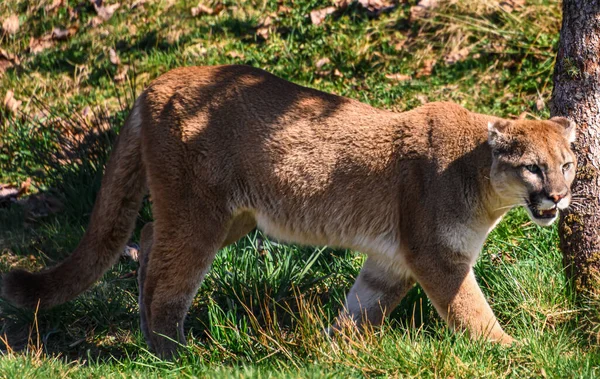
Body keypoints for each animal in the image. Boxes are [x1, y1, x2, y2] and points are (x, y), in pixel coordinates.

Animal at [2, 63, 580, 358]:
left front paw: (337, 351)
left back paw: (152, 343)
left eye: (569, 163)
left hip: (231, 217)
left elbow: (363, 306)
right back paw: (174, 353)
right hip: (200, 211)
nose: (558, 197)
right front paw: (511, 351)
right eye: (533, 167)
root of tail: (157, 82)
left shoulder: (393, 259)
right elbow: (470, 309)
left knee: (146, 237)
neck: (480, 178)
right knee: (168, 273)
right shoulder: (436, 254)